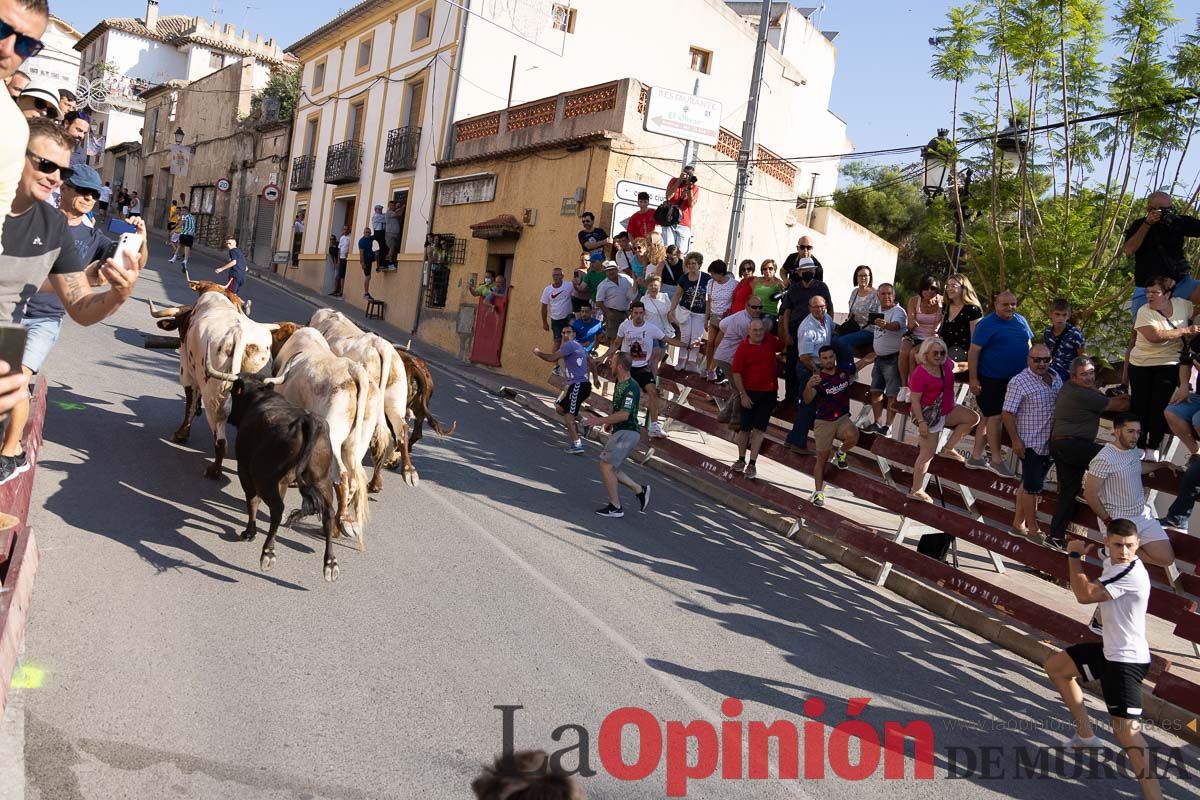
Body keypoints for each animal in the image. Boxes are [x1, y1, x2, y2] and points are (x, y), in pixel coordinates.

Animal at [150, 287, 276, 479]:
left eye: (180, 323)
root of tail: (240, 335)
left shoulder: (188, 373)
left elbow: (190, 404)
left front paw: (181, 434)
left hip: (214, 396)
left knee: (220, 439)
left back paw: (214, 470)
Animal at [225, 371, 340, 585]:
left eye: (234, 393)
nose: (231, 418)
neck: (260, 397)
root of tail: (306, 420)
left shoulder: (245, 469)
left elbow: (252, 501)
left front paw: (249, 532)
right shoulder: (284, 482)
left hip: (265, 479)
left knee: (277, 509)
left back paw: (268, 552)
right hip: (322, 480)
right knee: (328, 514)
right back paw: (330, 563)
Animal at [274, 328, 379, 546]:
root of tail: (355, 371)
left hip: (334, 436)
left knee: (342, 474)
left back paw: (336, 524)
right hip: (357, 441)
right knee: (354, 477)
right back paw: (342, 522)